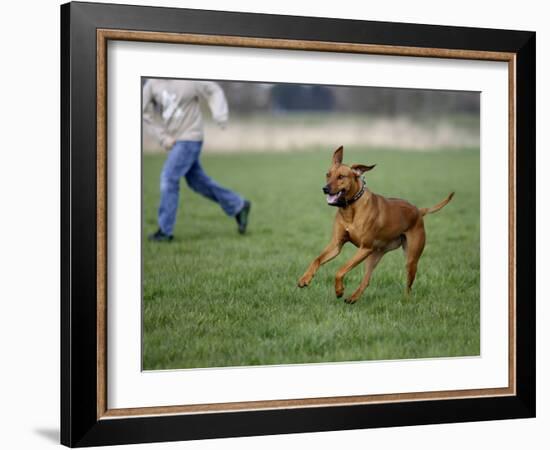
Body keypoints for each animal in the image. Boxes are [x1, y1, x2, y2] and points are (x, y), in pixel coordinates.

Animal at [300, 146, 454, 304]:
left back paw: (405, 300)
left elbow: (340, 270)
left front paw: (339, 290)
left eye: (341, 176)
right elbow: (317, 259)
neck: (350, 208)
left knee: (409, 285)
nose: (325, 188)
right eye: (328, 174)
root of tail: (418, 210)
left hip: (410, 258)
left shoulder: (364, 248)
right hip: (374, 255)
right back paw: (353, 298)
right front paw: (305, 278)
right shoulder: (337, 245)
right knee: (366, 280)